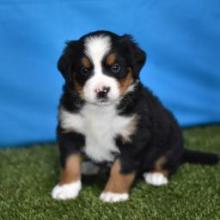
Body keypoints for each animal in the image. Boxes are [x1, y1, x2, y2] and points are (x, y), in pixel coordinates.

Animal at [51, 30, 218, 203]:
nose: (102, 90)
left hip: (171, 139)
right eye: (84, 70)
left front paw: (114, 193)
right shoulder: (68, 130)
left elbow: (122, 168)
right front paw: (67, 188)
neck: (101, 111)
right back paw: (89, 166)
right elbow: (69, 163)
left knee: (169, 160)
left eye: (116, 67)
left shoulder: (134, 137)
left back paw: (156, 175)